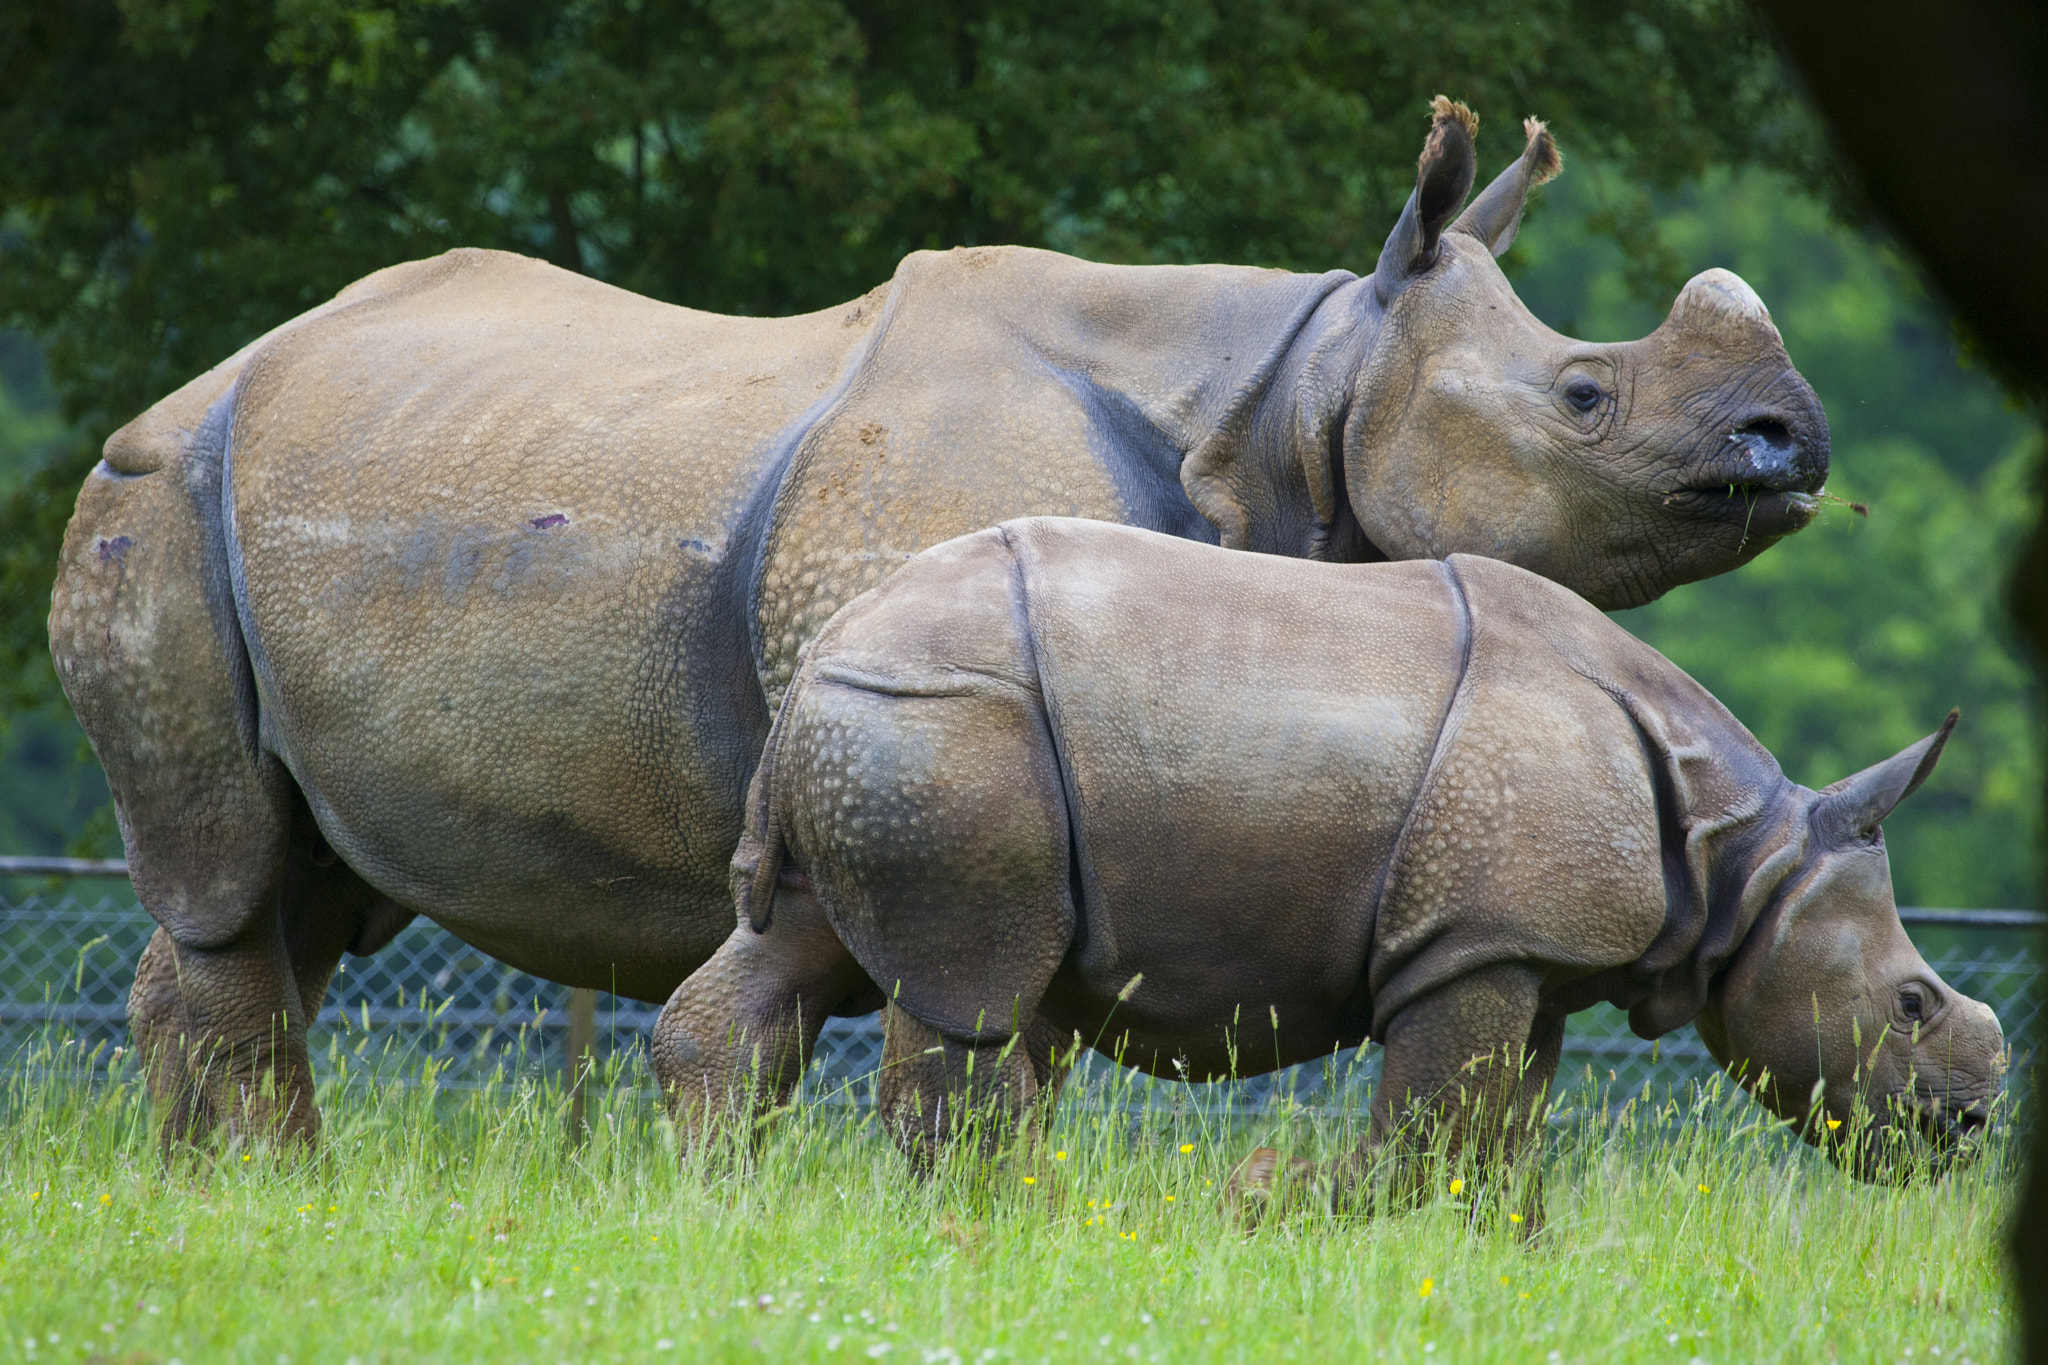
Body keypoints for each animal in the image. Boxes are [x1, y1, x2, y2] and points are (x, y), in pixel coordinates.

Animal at [50, 100, 1832, 1145]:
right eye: (1586, 395)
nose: (1793, 443)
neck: (1304, 391)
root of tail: (208, 378)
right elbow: (992, 1006)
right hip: (155, 496)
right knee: (228, 877)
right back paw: (252, 1180)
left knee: (300, 888)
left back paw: (233, 1186)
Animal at [657, 518, 2003, 1216]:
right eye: (1909, 1003)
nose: (1971, 1126)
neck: (1744, 861)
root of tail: (829, 642)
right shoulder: (1476, 937)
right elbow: (1431, 1131)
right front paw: (1260, 1197)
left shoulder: (1518, 945)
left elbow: (1494, 1141)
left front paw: (1499, 1261)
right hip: (949, 721)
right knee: (974, 990)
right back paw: (1024, 1220)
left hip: (877, 724)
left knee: (800, 951)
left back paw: (721, 1202)